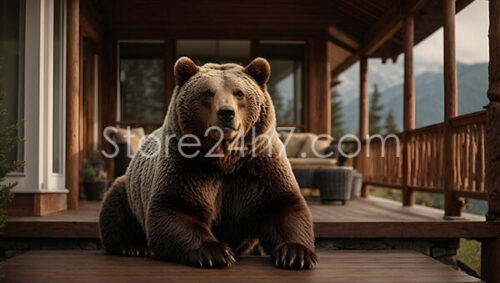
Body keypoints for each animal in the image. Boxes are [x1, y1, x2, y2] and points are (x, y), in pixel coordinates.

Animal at [98, 56, 316, 270]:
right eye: (208, 92)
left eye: (239, 93)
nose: (226, 113)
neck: (225, 158)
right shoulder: (188, 165)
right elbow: (177, 208)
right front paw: (215, 252)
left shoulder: (258, 165)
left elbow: (283, 207)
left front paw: (296, 253)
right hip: (131, 189)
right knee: (116, 207)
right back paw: (132, 246)